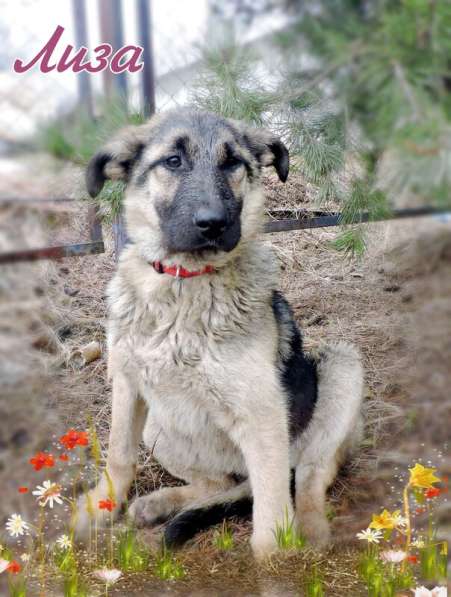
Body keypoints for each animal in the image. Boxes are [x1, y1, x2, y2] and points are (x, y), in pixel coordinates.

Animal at [75, 108, 364, 560]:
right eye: (173, 161)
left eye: (233, 164)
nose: (214, 224)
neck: (183, 285)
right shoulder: (127, 381)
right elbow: (119, 454)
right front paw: (99, 508)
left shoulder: (263, 413)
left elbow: (271, 516)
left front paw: (278, 565)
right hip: (159, 422)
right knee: (218, 483)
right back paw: (160, 503)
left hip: (342, 365)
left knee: (310, 474)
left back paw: (313, 533)